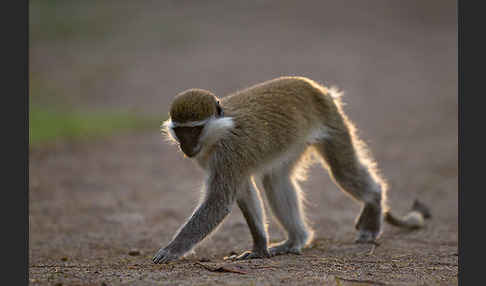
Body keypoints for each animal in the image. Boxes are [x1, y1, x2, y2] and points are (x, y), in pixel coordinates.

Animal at [154, 76, 430, 264]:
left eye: (194, 129)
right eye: (181, 131)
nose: (186, 147)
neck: (220, 131)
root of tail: (316, 87)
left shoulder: (229, 154)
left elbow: (218, 203)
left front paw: (171, 250)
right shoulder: (221, 161)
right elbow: (244, 191)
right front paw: (259, 248)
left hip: (332, 122)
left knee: (343, 170)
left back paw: (373, 203)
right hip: (296, 142)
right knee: (276, 180)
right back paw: (296, 240)